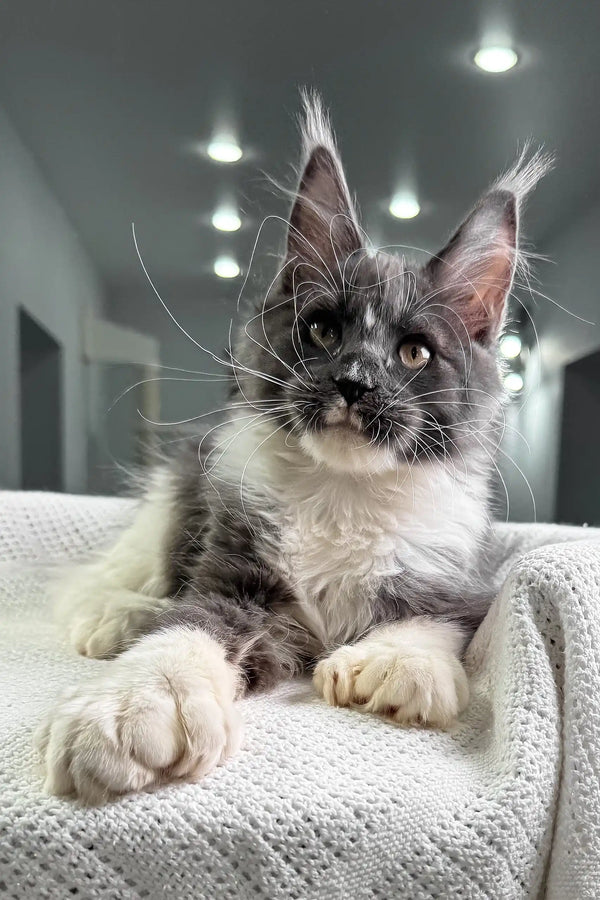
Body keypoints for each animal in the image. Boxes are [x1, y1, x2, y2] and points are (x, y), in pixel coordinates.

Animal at [35, 95, 552, 804]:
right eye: (323, 330)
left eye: (415, 353)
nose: (354, 383)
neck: (343, 492)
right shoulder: (232, 566)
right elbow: (189, 621)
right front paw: (138, 701)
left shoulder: (464, 576)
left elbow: (441, 617)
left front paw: (397, 662)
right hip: (175, 497)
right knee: (110, 576)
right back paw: (116, 614)